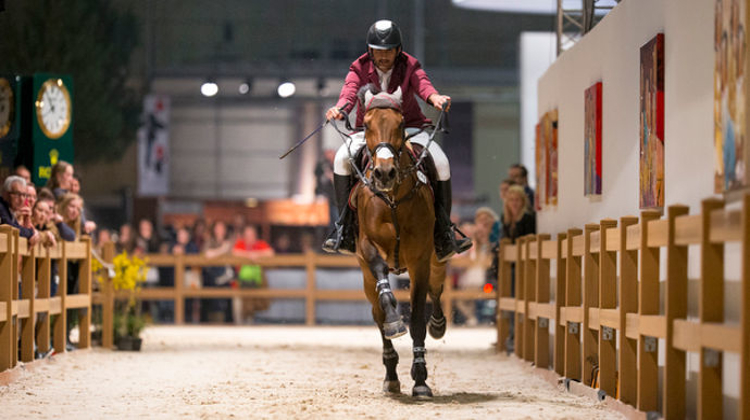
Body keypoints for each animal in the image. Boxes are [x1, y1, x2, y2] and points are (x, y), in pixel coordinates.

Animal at [352, 87, 450, 398]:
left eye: (401, 123)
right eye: (366, 124)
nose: (384, 173)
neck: (393, 199)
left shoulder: (420, 260)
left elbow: (418, 317)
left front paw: (420, 378)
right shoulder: (368, 249)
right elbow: (385, 300)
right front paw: (395, 319)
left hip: (436, 262)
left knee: (436, 290)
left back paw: (438, 324)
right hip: (366, 279)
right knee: (377, 314)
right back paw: (391, 375)